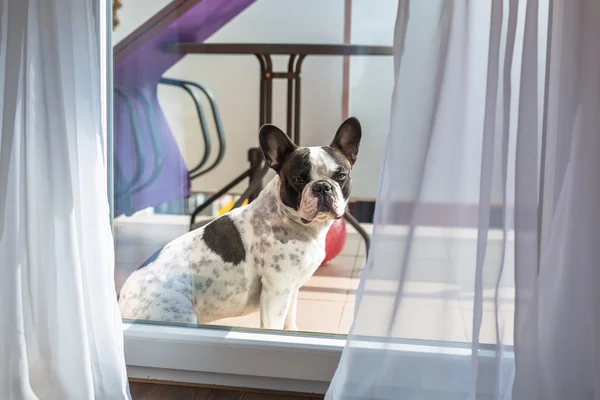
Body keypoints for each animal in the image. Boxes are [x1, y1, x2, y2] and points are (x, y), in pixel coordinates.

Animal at [117, 117, 360, 330]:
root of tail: (120, 305)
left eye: (341, 176)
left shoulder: (292, 289)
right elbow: (273, 326)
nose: (322, 186)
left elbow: (289, 321)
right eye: (298, 180)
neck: (291, 220)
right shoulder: (277, 289)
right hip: (178, 313)